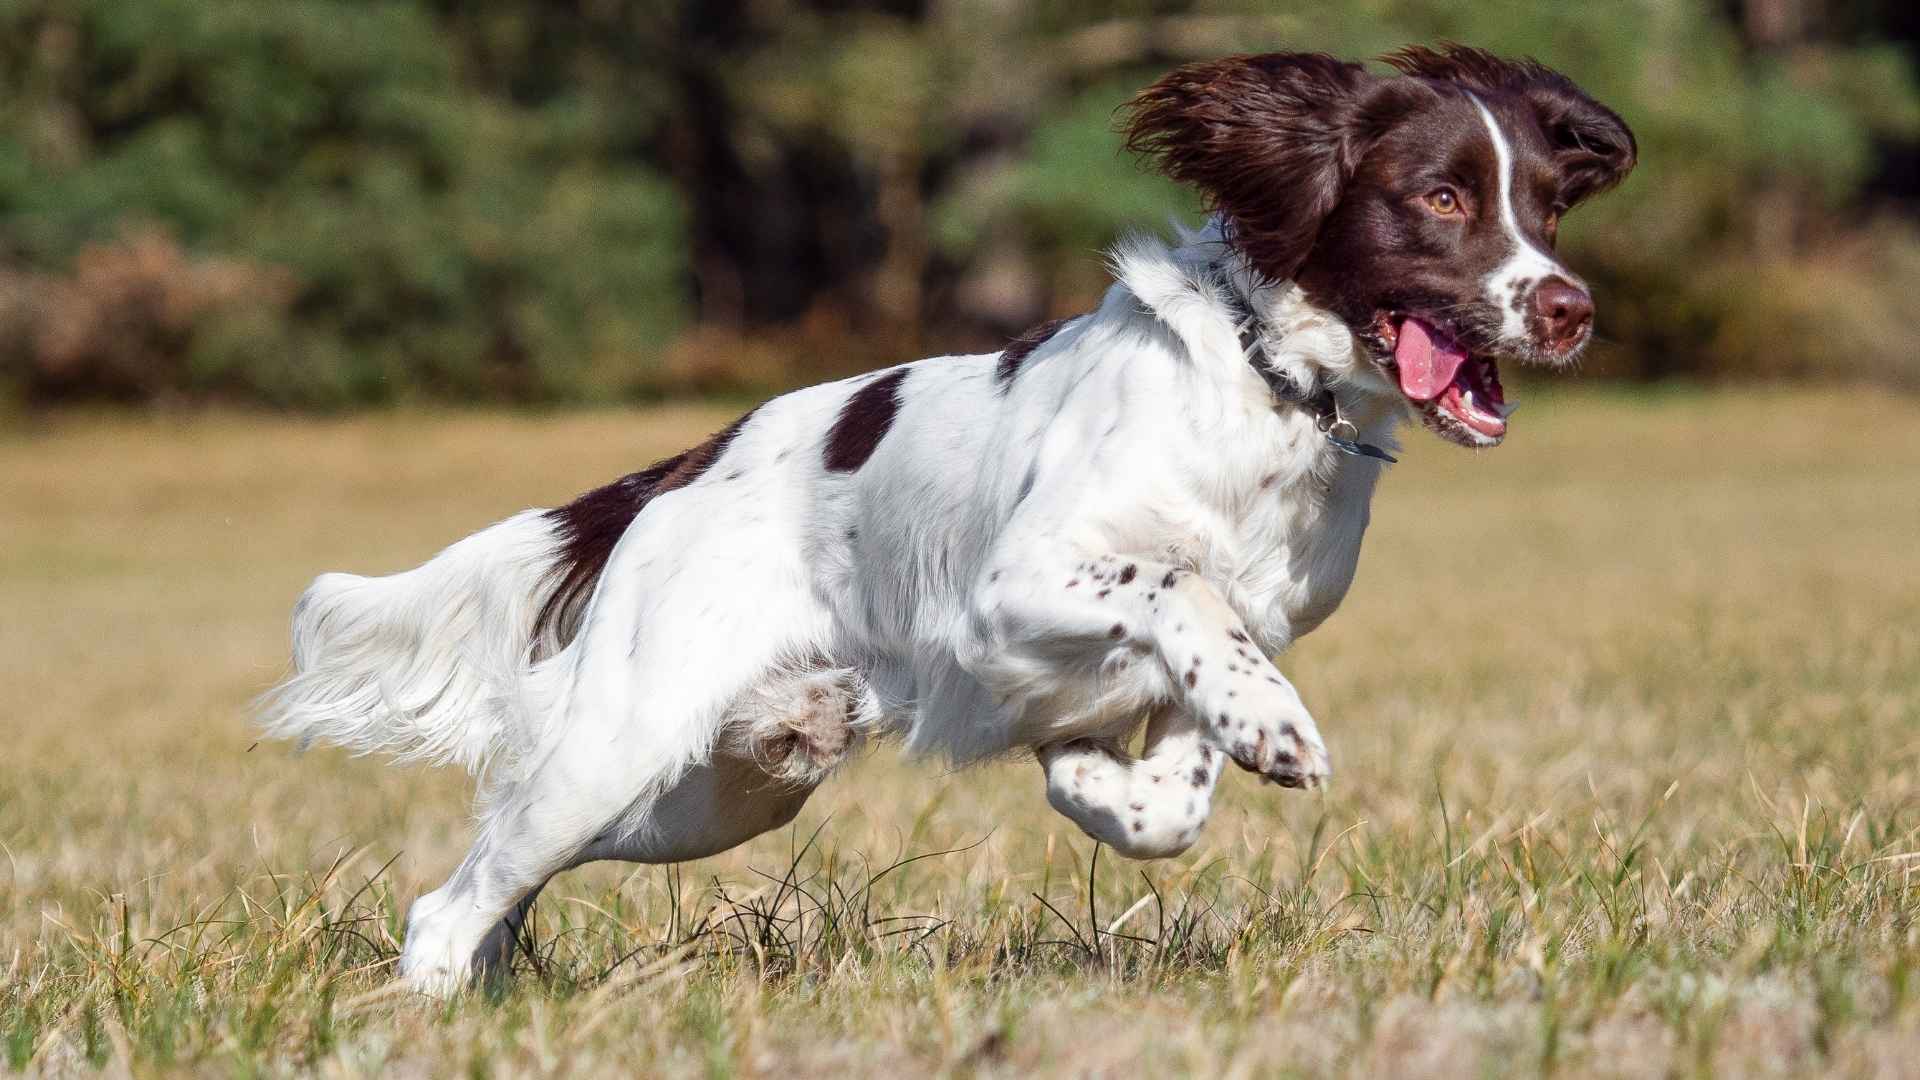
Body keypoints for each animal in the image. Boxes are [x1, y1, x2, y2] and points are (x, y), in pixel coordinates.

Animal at [259, 50, 1635, 991]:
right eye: (1442, 199)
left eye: (1549, 207)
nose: (1571, 309)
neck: (1266, 397)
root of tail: (687, 468)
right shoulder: (1010, 589)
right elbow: (1179, 590)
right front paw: (1272, 731)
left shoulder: (1245, 626)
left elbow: (1177, 769)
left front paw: (1115, 783)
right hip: (621, 743)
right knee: (453, 897)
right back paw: (434, 1003)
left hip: (712, 793)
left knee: (500, 870)